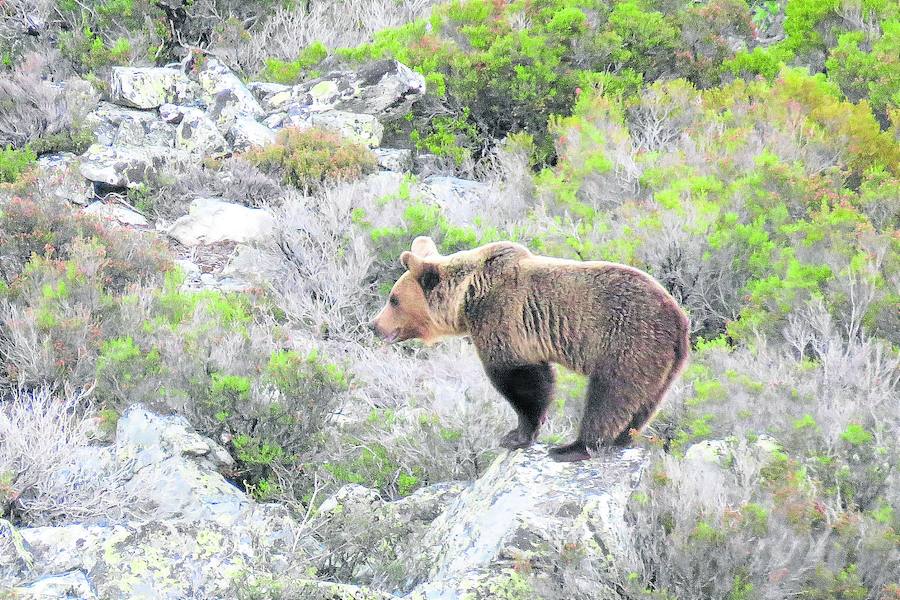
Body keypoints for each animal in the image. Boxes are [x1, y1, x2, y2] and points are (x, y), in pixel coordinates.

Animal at [370, 237, 692, 462]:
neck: (466, 298)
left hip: (629, 341)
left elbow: (521, 380)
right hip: (664, 364)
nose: (374, 325)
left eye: (393, 299)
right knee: (644, 402)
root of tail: (679, 318)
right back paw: (624, 437)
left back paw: (574, 447)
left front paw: (516, 435)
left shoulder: (501, 318)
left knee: (610, 396)